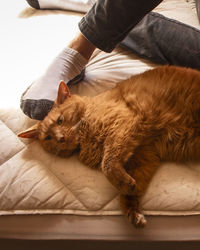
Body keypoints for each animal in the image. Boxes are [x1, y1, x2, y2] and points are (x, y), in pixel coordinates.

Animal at [18, 65, 200, 228]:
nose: (60, 138)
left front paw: (124, 184)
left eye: (60, 120)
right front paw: (133, 210)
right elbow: (130, 190)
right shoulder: (144, 155)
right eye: (48, 137)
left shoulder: (123, 125)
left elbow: (108, 163)